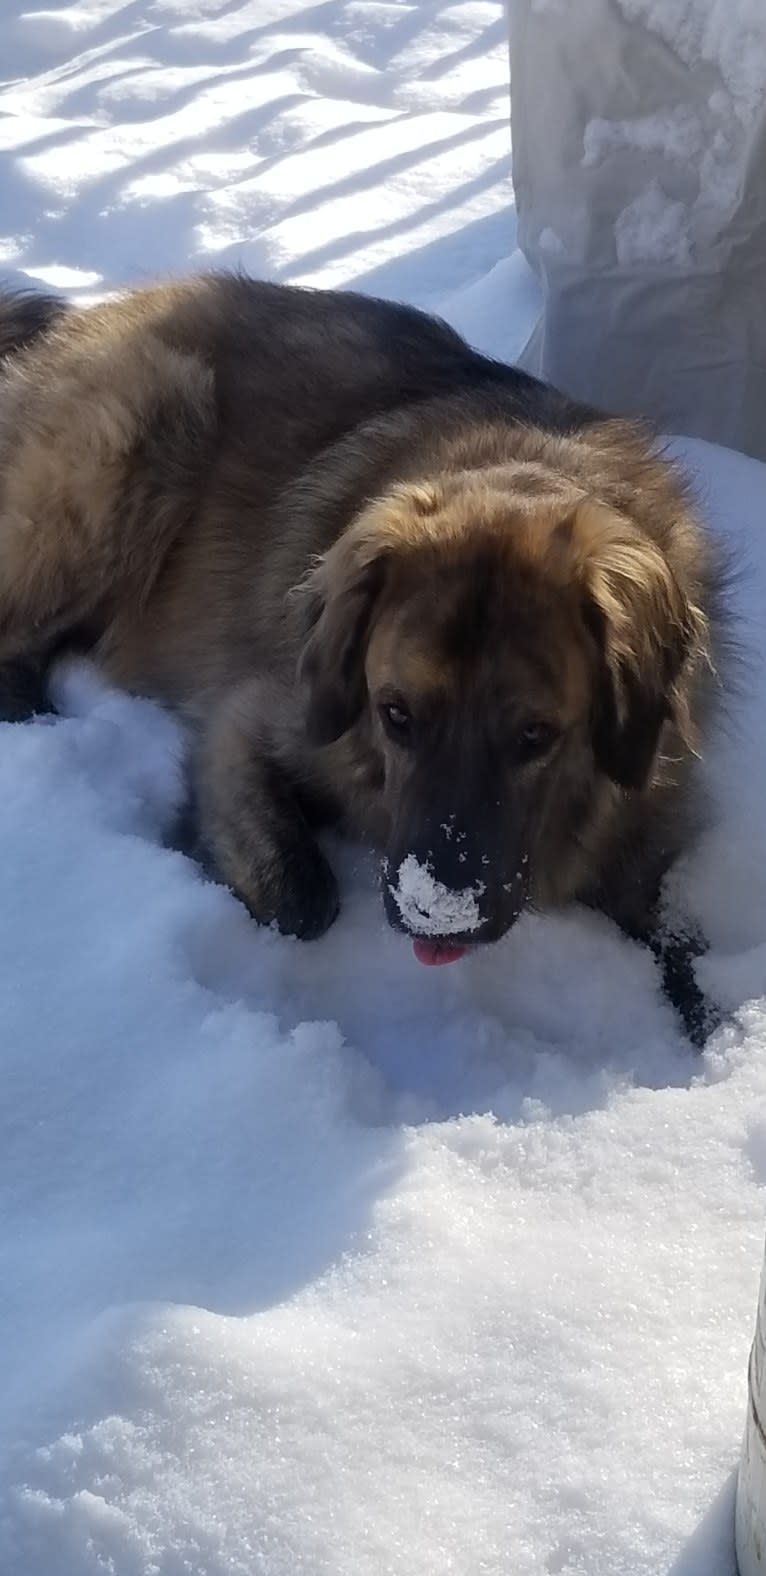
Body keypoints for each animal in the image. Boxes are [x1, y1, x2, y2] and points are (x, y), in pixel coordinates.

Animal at [0, 277, 731, 1040]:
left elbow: (688, 948)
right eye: (395, 714)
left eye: (536, 734)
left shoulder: (645, 819)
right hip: (149, 421)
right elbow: (301, 899)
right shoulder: (257, 721)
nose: (435, 913)